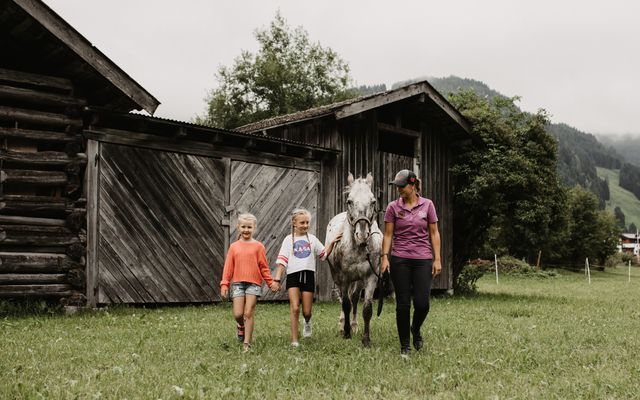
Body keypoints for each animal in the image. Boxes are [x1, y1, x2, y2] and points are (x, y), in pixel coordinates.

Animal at [324, 172, 380, 346]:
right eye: (349, 201)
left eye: (373, 201)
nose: (362, 235)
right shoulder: (344, 278)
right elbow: (346, 304)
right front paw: (346, 333)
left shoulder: (370, 278)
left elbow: (366, 308)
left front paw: (366, 339)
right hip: (338, 278)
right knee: (344, 300)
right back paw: (343, 325)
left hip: (359, 280)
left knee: (354, 297)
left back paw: (354, 325)